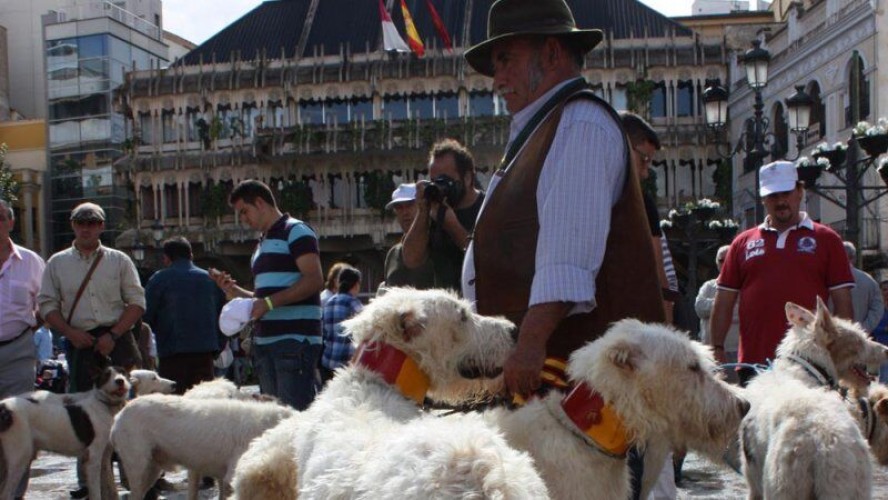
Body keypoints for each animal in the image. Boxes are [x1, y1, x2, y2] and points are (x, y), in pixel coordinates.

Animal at [0, 366, 132, 498]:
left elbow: (109, 485)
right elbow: (96, 492)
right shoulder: (92, 457)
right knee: (6, 494)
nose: (120, 381)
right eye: (107, 375)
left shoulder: (105, 456)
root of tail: (4, 407)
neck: (105, 405)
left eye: (123, 373)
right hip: (19, 458)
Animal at [740, 298, 888, 498]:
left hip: (782, 487)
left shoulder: (753, 483)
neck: (808, 368)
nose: (886, 350)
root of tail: (826, 445)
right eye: (857, 340)